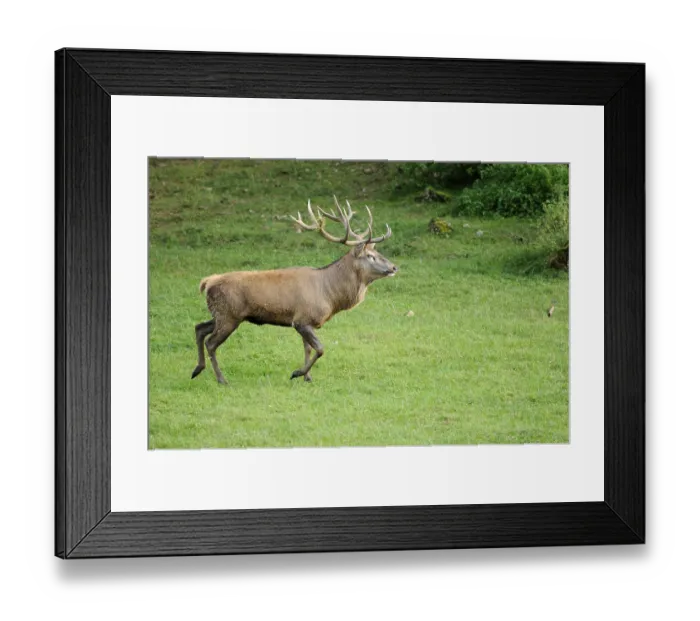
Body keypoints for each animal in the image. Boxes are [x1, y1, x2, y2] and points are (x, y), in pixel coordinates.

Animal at [191, 197, 398, 385]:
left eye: (378, 253)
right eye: (370, 256)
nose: (394, 267)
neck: (330, 295)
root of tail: (207, 282)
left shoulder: (308, 321)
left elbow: (308, 348)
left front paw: (307, 377)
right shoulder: (301, 320)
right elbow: (320, 348)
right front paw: (297, 373)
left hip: (223, 314)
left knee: (199, 328)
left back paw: (197, 369)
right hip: (228, 315)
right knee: (211, 342)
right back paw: (221, 379)